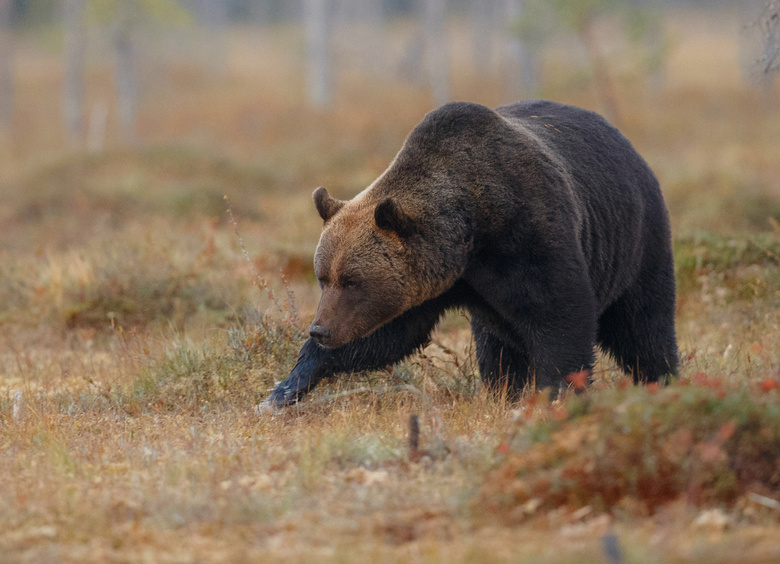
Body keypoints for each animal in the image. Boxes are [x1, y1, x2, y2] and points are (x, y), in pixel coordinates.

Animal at [263, 100, 678, 408]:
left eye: (353, 280)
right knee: (496, 345)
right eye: (323, 278)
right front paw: (283, 389)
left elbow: (561, 315)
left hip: (637, 239)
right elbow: (386, 336)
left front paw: (557, 394)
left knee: (644, 324)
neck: (470, 236)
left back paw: (663, 379)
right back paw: (501, 391)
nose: (319, 329)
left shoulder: (529, 234)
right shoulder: (434, 282)